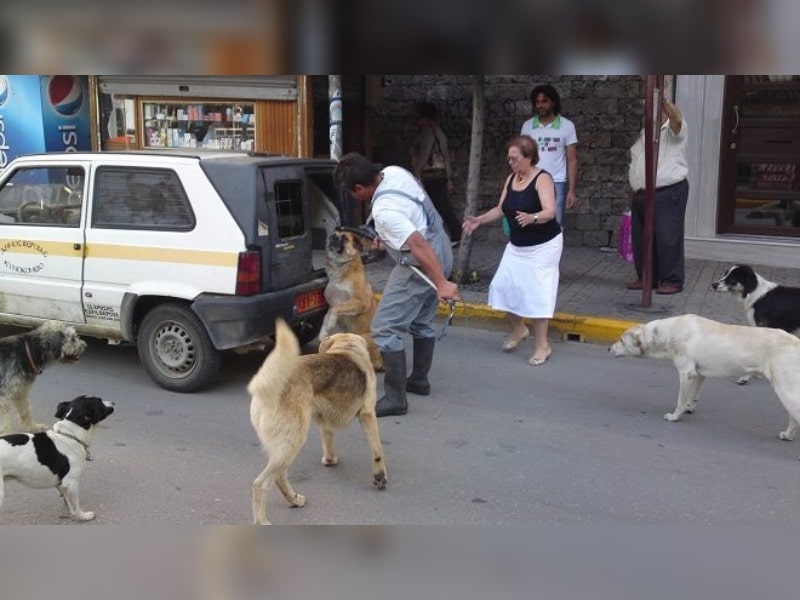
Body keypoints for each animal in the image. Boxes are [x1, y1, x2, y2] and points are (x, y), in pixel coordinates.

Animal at [250, 318, 388, 524]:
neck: (347, 349)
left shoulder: (323, 420)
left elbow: (327, 440)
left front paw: (329, 460)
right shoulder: (368, 414)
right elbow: (377, 450)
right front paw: (380, 476)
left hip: (282, 447)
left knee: (279, 477)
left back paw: (293, 500)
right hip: (292, 442)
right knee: (261, 484)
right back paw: (262, 520)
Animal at [318, 230, 382, 370]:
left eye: (344, 238)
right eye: (334, 235)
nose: (332, 237)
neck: (340, 266)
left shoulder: (360, 302)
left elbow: (336, 309)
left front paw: (331, 323)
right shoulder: (333, 302)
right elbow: (327, 314)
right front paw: (323, 331)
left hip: (363, 336)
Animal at [608, 314, 800, 440]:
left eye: (621, 341)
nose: (608, 348)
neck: (668, 333)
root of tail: (796, 342)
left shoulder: (686, 373)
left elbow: (680, 399)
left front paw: (675, 416)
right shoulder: (699, 374)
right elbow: (692, 396)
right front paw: (689, 407)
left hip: (786, 390)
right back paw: (787, 435)